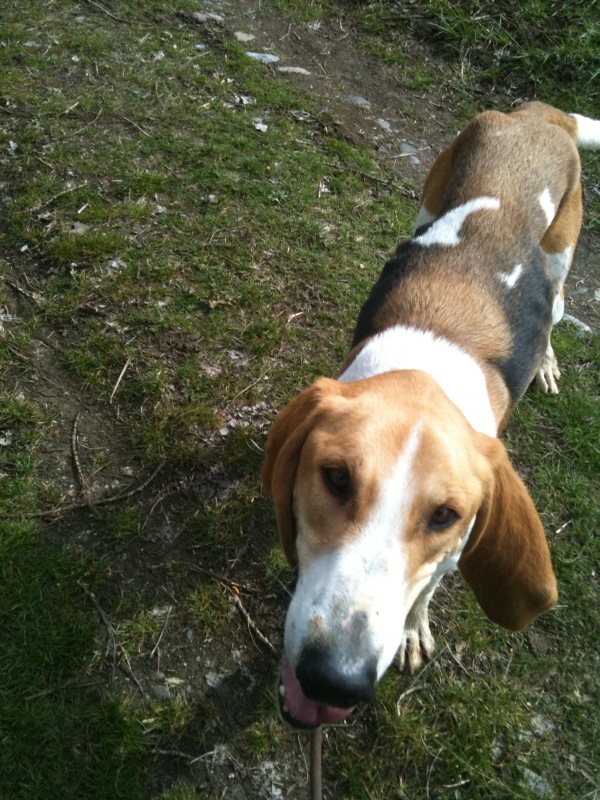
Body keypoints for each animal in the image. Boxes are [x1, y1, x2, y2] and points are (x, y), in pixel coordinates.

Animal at [264, 103, 600, 728]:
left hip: (563, 260)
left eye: (444, 515)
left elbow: (423, 592)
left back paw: (544, 361)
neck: (429, 364)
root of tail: (539, 114)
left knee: (557, 307)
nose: (333, 681)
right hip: (429, 200)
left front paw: (413, 629)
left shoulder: (456, 547)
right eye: (335, 478)